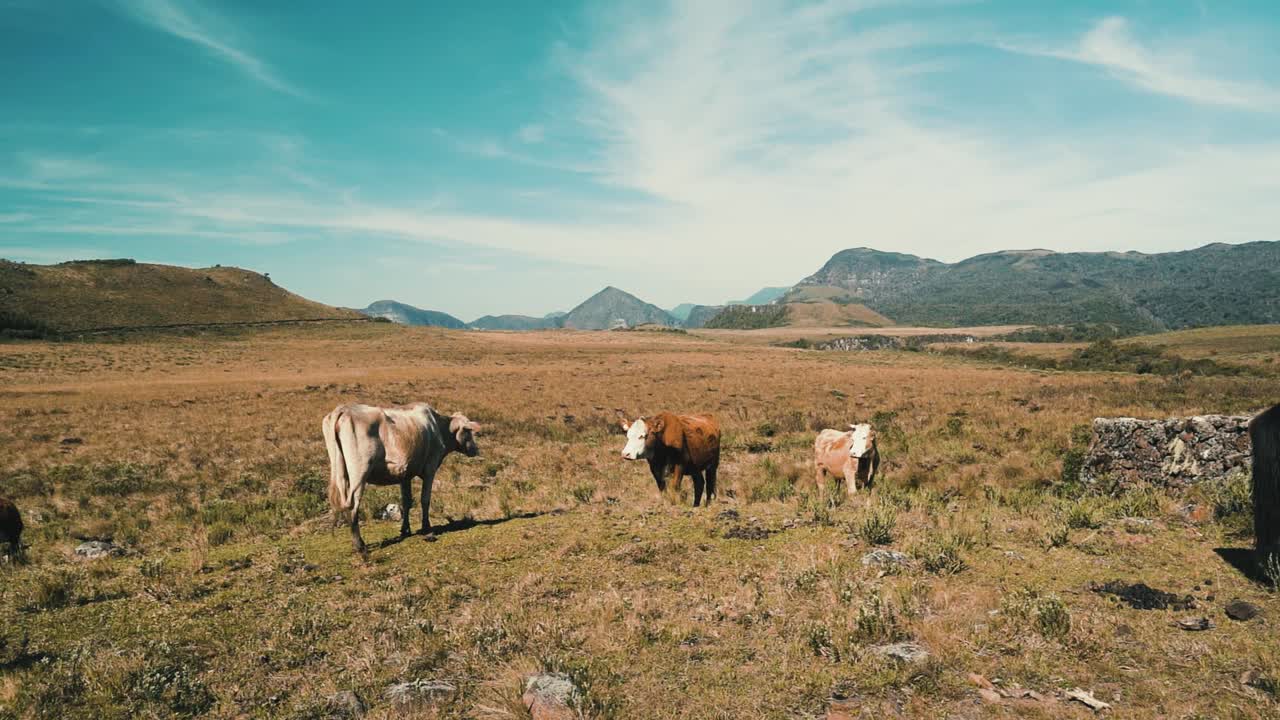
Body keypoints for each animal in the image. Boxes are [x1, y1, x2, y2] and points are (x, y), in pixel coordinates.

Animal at [323, 403, 480, 558]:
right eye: (468, 431)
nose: (476, 450)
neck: (439, 427)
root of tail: (343, 409)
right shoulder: (430, 468)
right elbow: (425, 499)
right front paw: (426, 528)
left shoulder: (405, 474)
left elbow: (406, 502)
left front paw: (405, 529)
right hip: (359, 472)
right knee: (352, 505)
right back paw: (360, 545)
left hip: (341, 472)